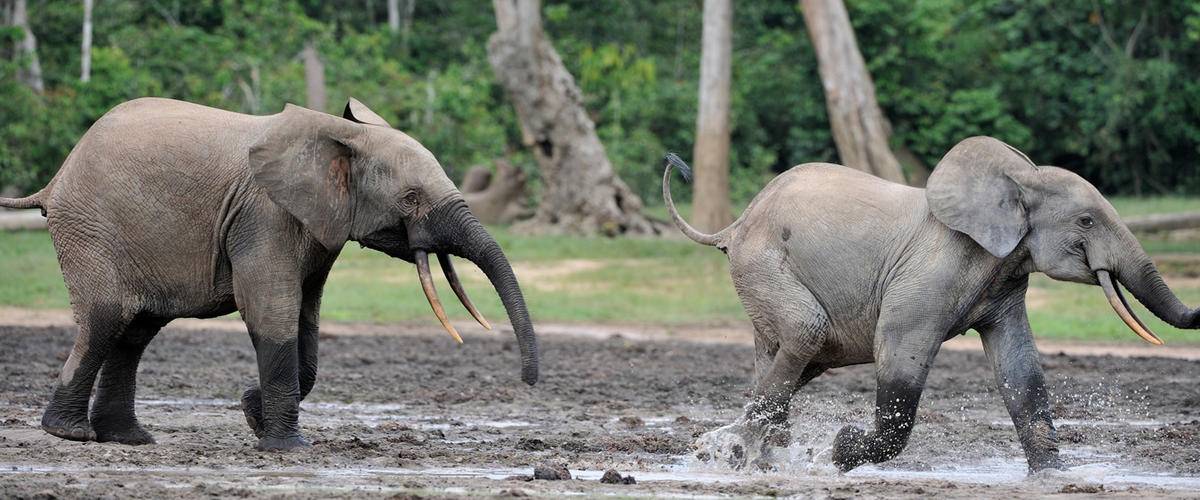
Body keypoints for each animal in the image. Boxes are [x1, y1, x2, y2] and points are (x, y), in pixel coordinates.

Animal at [0, 95, 542, 450]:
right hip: (92, 229)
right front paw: (286, 447)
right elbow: (271, 311)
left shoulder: (315, 227)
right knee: (109, 318)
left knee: (136, 331)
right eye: (410, 199)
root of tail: (55, 179)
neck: (341, 137)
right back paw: (69, 433)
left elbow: (306, 320)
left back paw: (128, 440)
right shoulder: (264, 215)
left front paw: (252, 412)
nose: (529, 383)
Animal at [662, 136, 1195, 472]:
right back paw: (736, 455)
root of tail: (735, 225)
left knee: (791, 361)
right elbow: (899, 353)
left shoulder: (1004, 278)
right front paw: (839, 450)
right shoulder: (929, 275)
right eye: (1086, 221)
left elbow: (1020, 368)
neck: (1018, 178)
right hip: (765, 264)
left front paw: (1053, 477)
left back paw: (745, 456)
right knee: (806, 333)